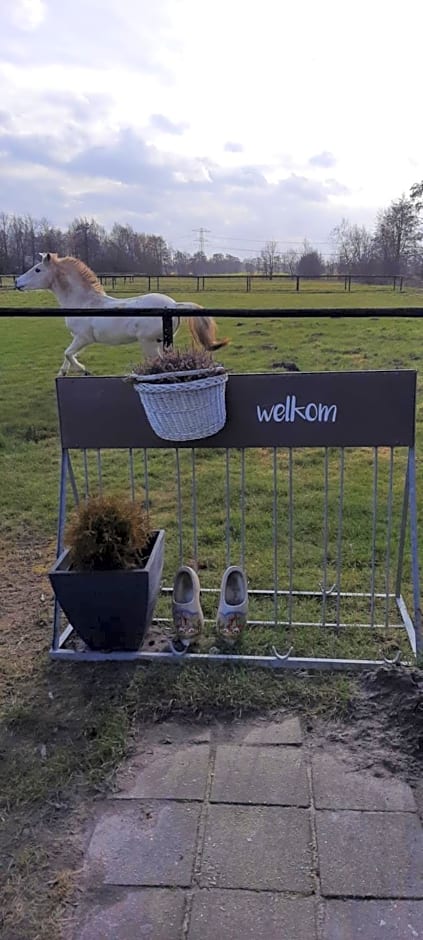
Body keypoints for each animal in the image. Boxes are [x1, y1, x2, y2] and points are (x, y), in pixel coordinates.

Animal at [15, 258, 229, 378]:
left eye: (37, 269)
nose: (17, 282)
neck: (86, 303)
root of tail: (174, 305)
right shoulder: (78, 339)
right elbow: (67, 355)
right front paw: (64, 373)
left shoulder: (84, 338)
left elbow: (68, 353)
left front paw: (84, 370)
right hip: (160, 342)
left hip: (148, 343)